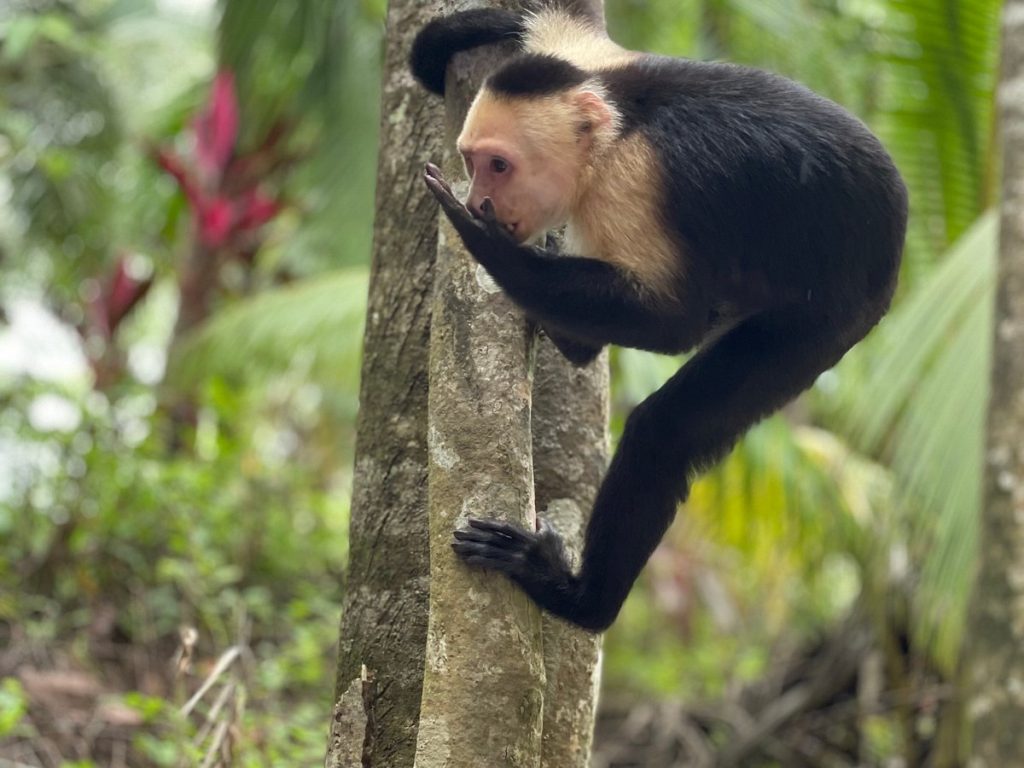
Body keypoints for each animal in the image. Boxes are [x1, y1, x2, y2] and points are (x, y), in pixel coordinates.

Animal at [409, 3, 908, 631]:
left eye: (499, 166)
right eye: (474, 162)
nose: (478, 201)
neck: (613, 125)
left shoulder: (631, 184)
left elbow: (676, 325)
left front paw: (478, 236)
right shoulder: (579, 54)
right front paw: (462, 33)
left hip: (830, 316)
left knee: (666, 430)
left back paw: (577, 598)